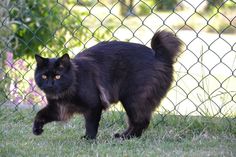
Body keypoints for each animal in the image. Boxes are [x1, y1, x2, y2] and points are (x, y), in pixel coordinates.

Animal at [32, 30, 182, 139]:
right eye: (44, 76)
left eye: (58, 76)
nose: (50, 84)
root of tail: (160, 57)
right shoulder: (58, 109)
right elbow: (39, 114)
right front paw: (36, 129)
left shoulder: (93, 106)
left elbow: (91, 125)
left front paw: (89, 139)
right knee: (137, 122)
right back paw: (123, 135)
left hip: (133, 99)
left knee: (141, 121)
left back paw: (125, 137)